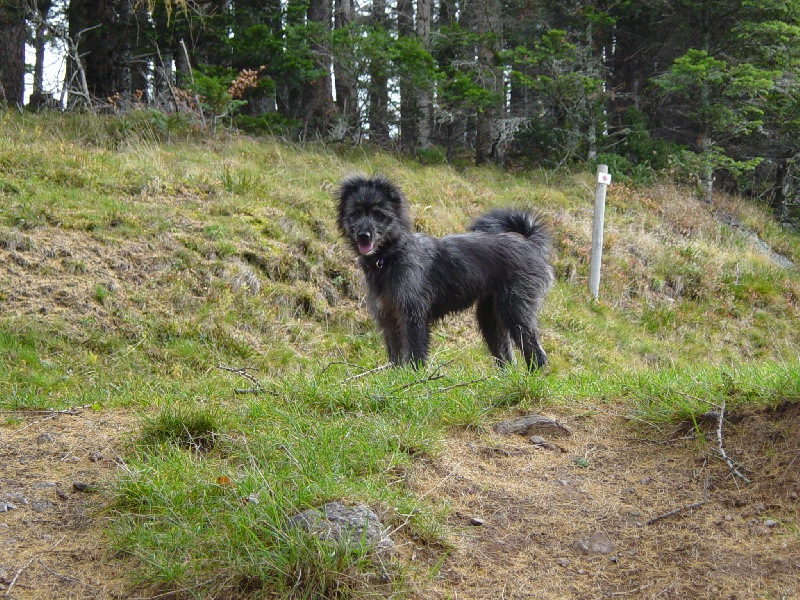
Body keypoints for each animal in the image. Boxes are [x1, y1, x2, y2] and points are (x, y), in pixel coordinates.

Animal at [334, 173, 552, 368]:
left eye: (378, 214)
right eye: (356, 213)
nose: (364, 236)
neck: (391, 256)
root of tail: (529, 241)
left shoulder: (413, 316)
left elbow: (415, 352)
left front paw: (415, 378)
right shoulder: (388, 318)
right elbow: (395, 357)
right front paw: (397, 379)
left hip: (515, 309)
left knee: (536, 352)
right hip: (490, 316)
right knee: (506, 357)